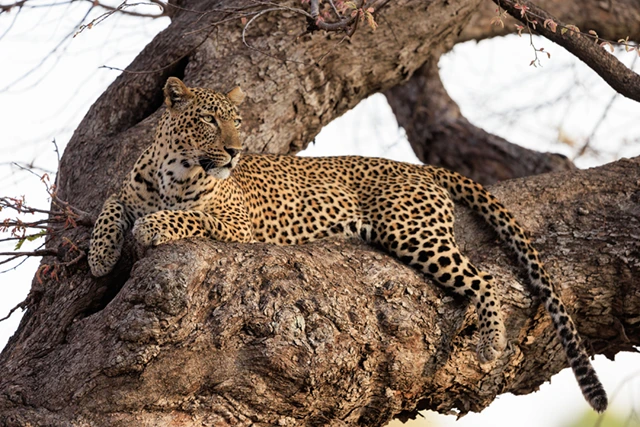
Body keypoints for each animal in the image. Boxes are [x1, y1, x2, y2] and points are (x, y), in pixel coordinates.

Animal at [88, 77, 607, 412]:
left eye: (236, 121)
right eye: (210, 121)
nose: (235, 151)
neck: (171, 169)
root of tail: (419, 168)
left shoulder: (235, 222)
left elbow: (184, 216)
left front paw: (150, 228)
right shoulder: (128, 193)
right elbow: (111, 206)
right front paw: (100, 256)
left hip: (413, 231)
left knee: (484, 279)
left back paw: (490, 344)